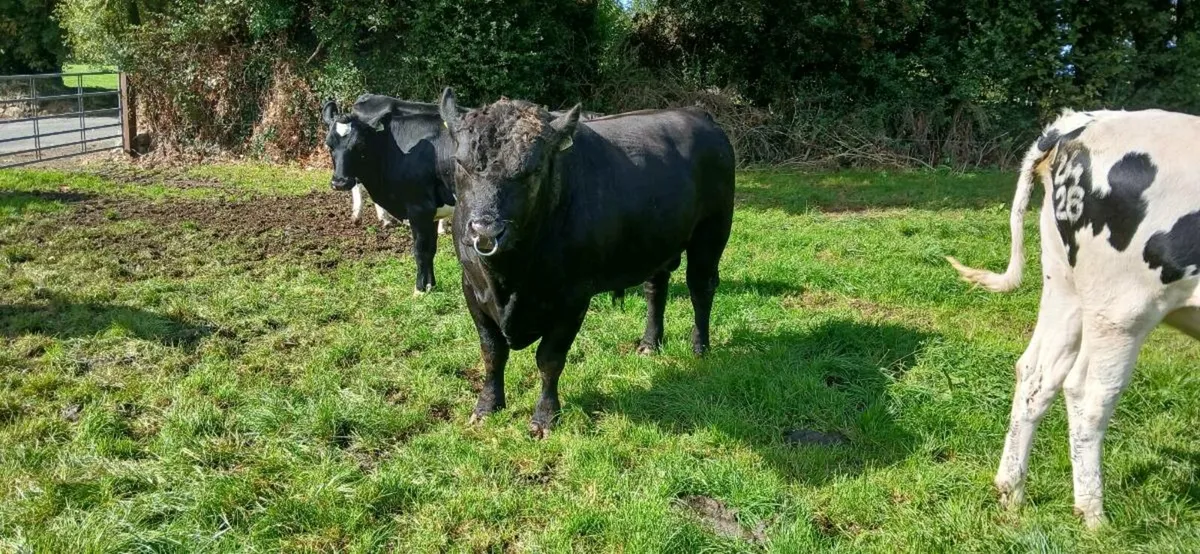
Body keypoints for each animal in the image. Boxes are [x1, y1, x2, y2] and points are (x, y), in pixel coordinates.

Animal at [321, 100, 458, 293]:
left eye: (360, 145)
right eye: (329, 145)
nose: (340, 182)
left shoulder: (420, 209)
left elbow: (421, 250)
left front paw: (419, 290)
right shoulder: (430, 213)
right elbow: (431, 248)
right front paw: (430, 286)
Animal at [438, 87, 735, 437]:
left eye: (533, 170)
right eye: (461, 164)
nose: (484, 232)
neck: (509, 281)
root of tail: (697, 114)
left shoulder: (573, 297)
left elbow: (549, 359)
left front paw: (545, 418)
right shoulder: (472, 289)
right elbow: (492, 353)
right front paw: (486, 407)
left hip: (711, 232)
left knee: (700, 288)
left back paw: (700, 348)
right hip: (657, 240)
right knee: (655, 288)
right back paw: (650, 343)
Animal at [946, 108, 1200, 528]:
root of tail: (1078, 125)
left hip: (1065, 286)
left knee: (1036, 373)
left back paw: (1011, 491)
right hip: (1123, 308)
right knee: (1088, 392)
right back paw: (1093, 517)